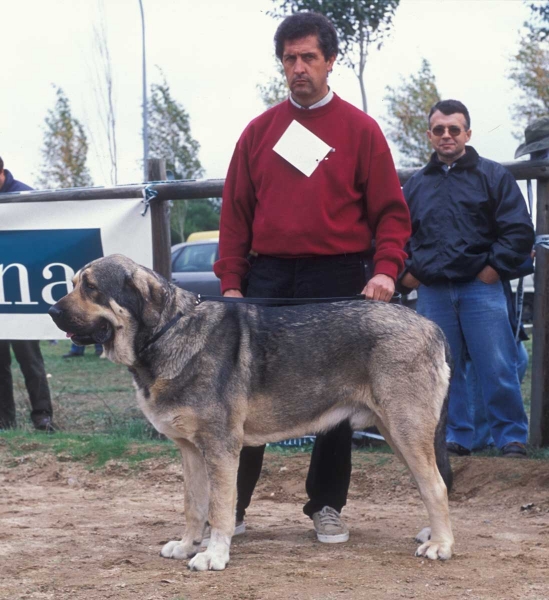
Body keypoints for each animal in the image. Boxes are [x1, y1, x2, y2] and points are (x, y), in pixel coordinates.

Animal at [50, 254, 454, 572]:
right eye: (73, 284)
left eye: (91, 288)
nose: (52, 310)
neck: (168, 331)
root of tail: (432, 327)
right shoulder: (190, 450)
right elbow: (194, 506)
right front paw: (187, 545)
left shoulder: (221, 448)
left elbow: (220, 509)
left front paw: (213, 555)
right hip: (396, 433)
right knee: (431, 484)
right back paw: (434, 533)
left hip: (406, 429)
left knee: (434, 485)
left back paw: (441, 545)